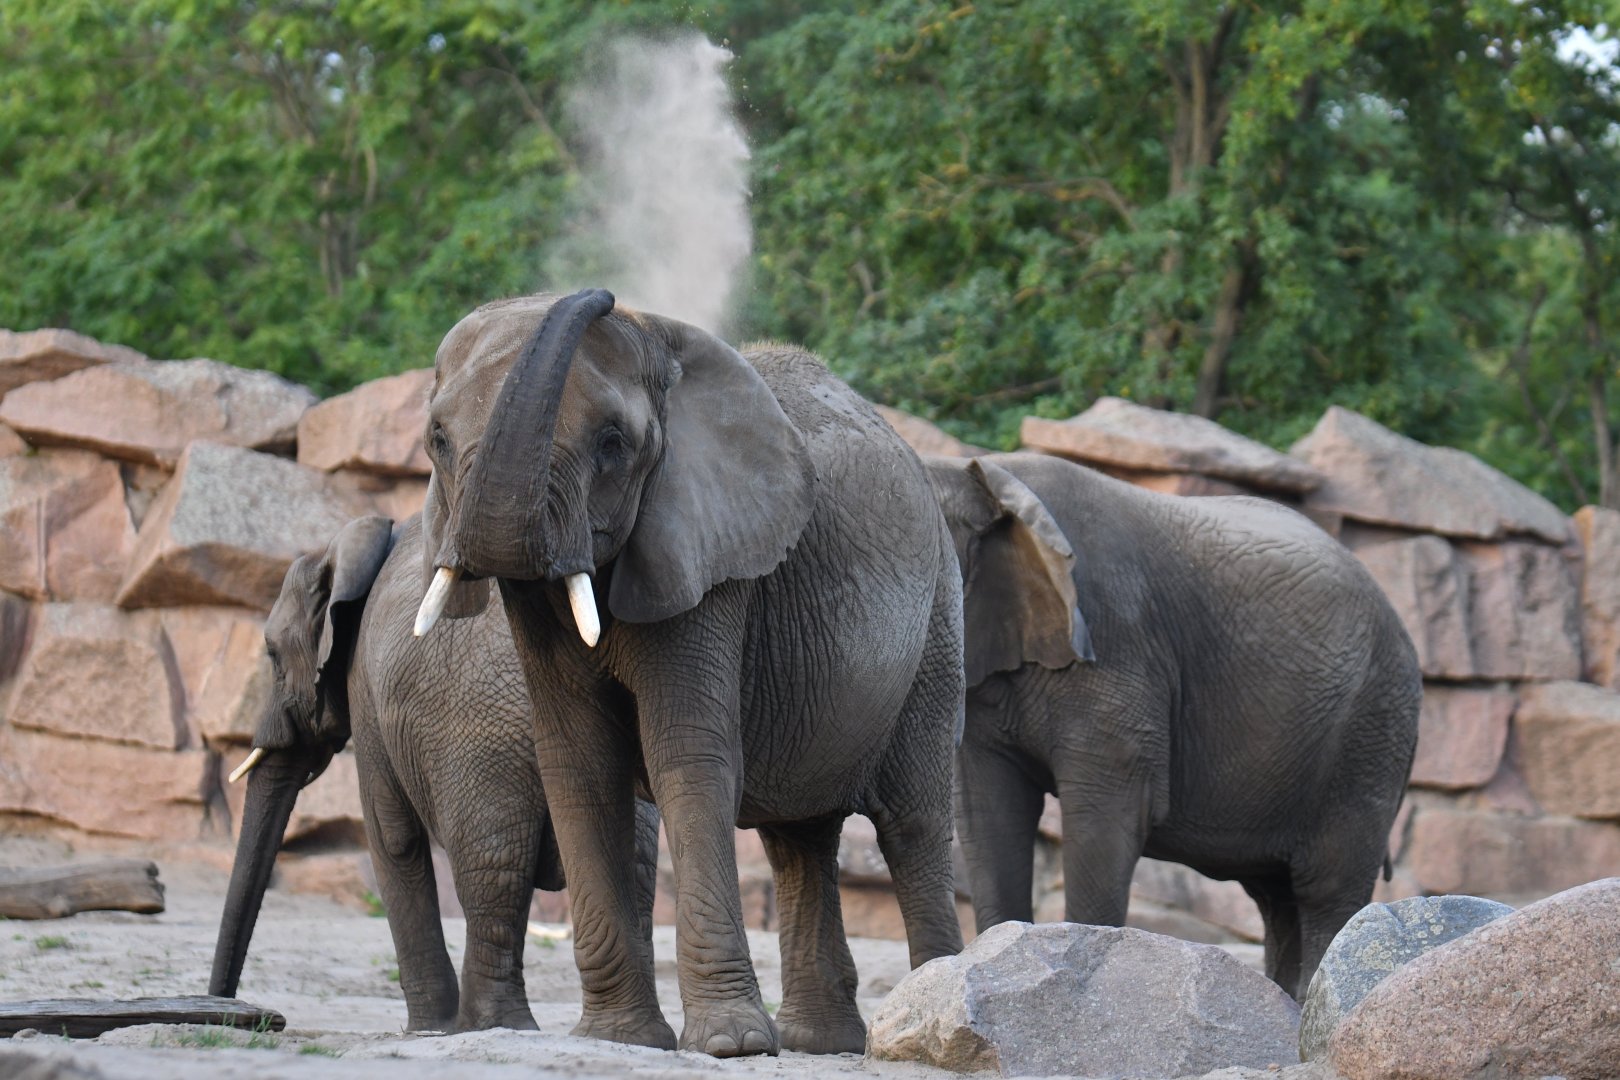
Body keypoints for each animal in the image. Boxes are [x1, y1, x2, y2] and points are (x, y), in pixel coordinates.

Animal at [209, 513, 659, 1033]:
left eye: (271, 654)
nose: (234, 1011)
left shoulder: (365, 688)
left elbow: (392, 837)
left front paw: (426, 1028)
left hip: (479, 733)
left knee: (491, 865)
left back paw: (488, 1025)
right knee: (632, 865)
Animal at [411, 288, 965, 1057]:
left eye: (613, 443)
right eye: (436, 439)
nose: (598, 296)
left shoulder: (709, 561)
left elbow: (689, 753)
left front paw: (731, 1046)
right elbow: (579, 766)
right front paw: (622, 1038)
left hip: (937, 620)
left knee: (913, 823)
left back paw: (925, 1021)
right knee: (800, 838)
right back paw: (821, 1042)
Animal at [922, 451, 1421, 999]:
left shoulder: (1117, 645)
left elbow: (1106, 814)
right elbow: (990, 814)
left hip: (1371, 726)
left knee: (1325, 887)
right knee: (1279, 896)